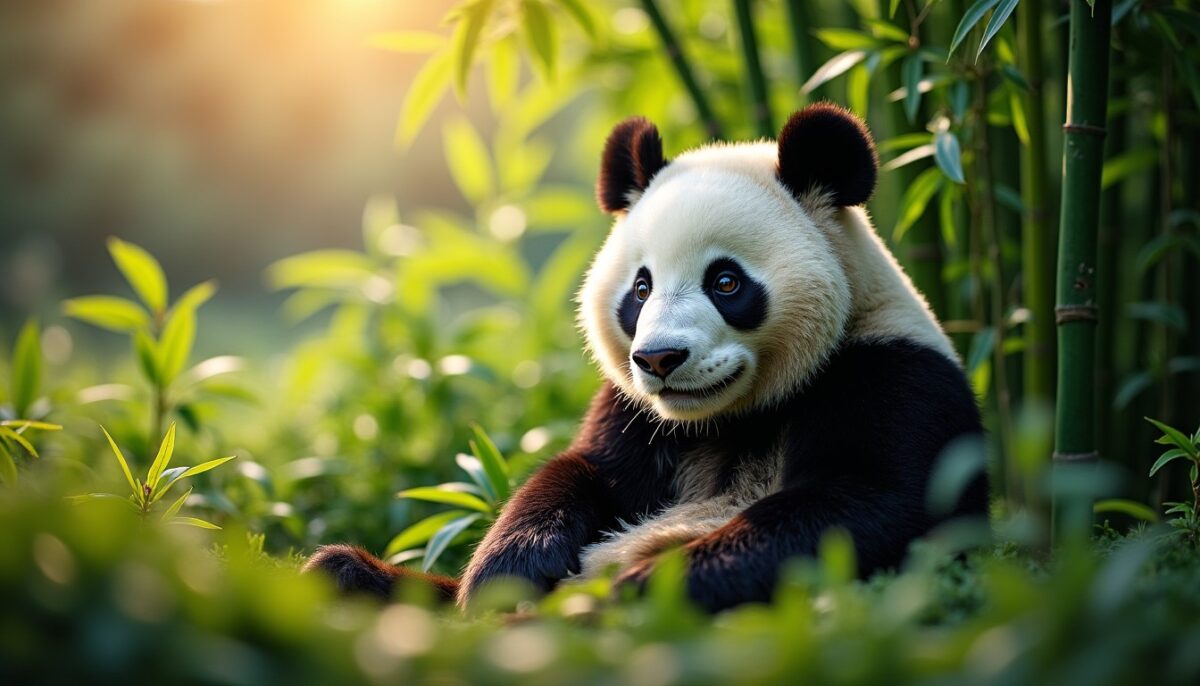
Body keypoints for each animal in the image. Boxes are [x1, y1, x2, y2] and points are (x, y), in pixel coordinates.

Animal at [305, 103, 987, 612]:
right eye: (640, 288)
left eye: (726, 282)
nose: (660, 358)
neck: (735, 416)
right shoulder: (633, 412)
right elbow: (580, 473)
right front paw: (512, 572)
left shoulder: (893, 375)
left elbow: (863, 508)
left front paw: (633, 592)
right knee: (342, 572)